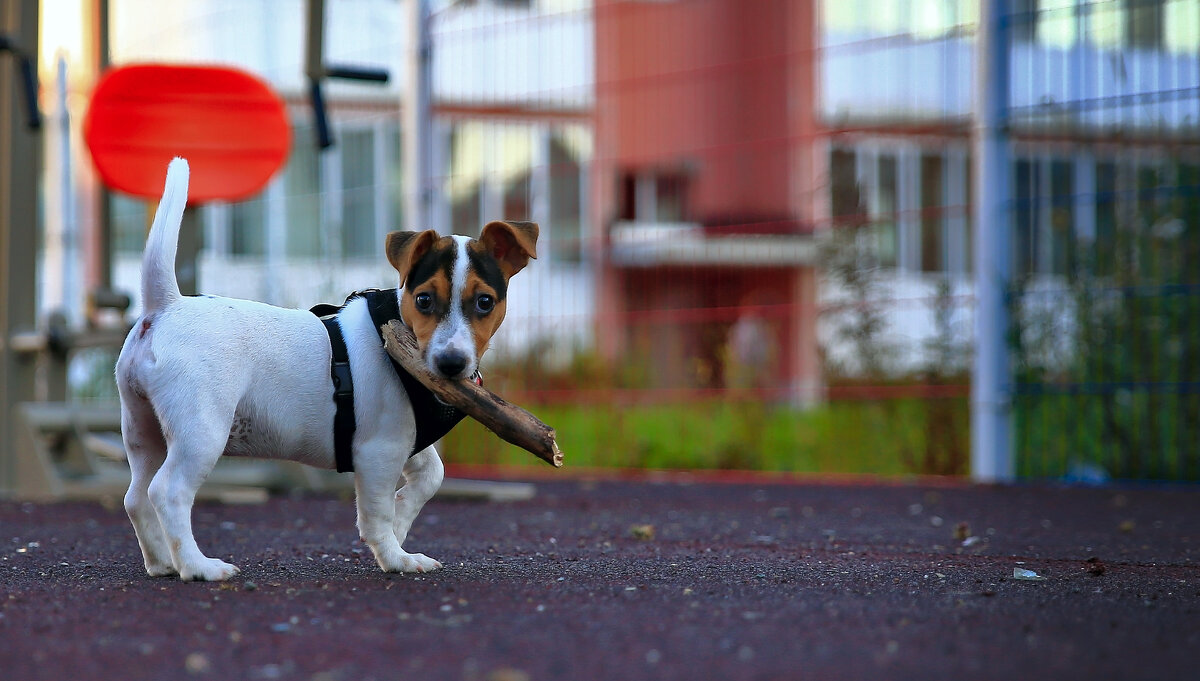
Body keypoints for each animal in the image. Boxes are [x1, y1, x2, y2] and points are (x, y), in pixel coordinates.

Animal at [117, 158, 540, 580]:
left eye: (485, 302)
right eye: (423, 299)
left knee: (136, 497)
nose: (451, 363)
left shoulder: (405, 439)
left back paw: (161, 562)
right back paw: (197, 565)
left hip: (143, 431)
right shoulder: (378, 452)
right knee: (167, 492)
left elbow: (430, 477)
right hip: (201, 432)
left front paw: (403, 519)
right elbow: (377, 515)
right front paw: (396, 556)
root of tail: (166, 306)